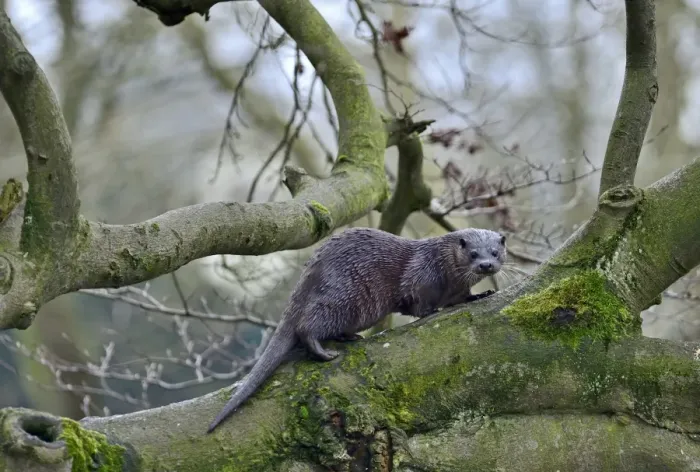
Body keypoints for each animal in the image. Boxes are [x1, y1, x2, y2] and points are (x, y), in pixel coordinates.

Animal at [206, 227, 506, 433]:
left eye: (495, 252)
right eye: (473, 253)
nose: (486, 265)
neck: (445, 269)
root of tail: (308, 275)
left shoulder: (456, 290)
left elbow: (461, 298)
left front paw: (481, 295)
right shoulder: (420, 275)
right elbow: (418, 301)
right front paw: (429, 312)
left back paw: (350, 337)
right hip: (344, 296)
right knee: (306, 327)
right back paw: (324, 352)